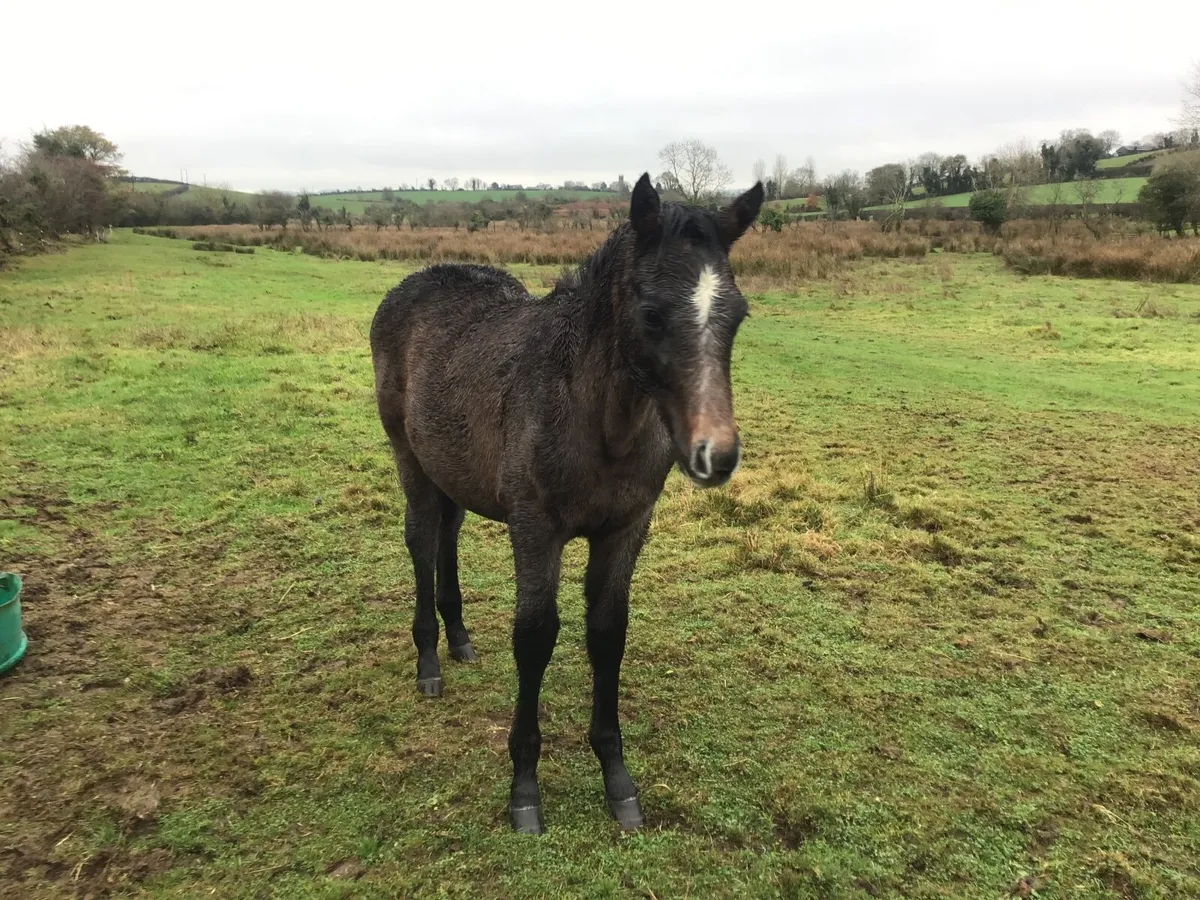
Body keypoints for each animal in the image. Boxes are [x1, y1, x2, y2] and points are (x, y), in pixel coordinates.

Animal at [369, 172, 763, 835]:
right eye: (651, 313)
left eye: (737, 315)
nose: (717, 454)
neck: (599, 421)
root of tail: (415, 282)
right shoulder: (535, 526)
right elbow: (535, 637)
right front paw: (524, 788)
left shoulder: (626, 527)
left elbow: (607, 633)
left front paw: (617, 777)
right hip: (411, 458)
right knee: (421, 538)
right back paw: (429, 661)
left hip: (455, 467)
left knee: (448, 531)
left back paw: (459, 637)